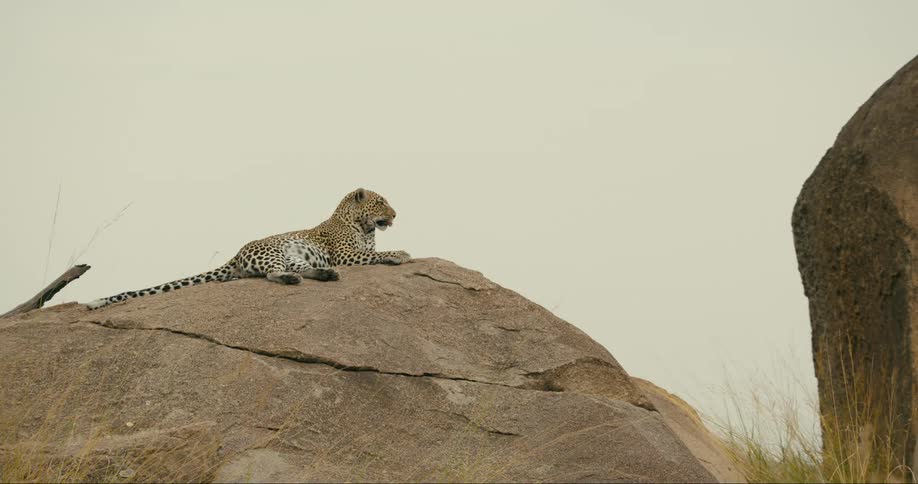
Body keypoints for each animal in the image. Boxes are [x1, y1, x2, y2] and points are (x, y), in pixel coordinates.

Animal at [86, 188, 411, 309]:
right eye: (380, 203)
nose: (395, 215)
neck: (365, 227)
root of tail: (237, 253)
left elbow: (373, 251)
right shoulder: (344, 254)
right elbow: (373, 254)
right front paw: (400, 254)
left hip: (296, 257)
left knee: (303, 270)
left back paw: (325, 275)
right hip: (275, 252)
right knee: (273, 274)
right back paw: (296, 278)